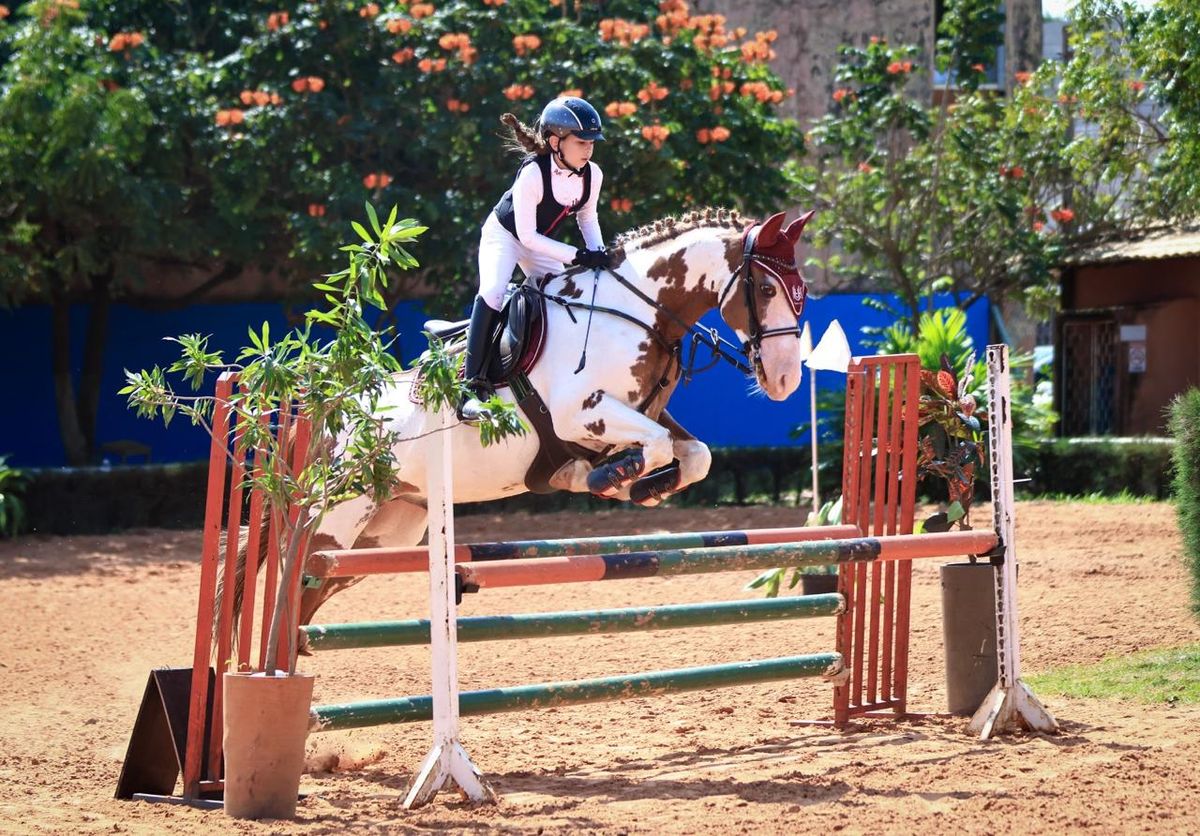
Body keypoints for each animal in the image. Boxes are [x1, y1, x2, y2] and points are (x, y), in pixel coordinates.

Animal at [282, 207, 816, 623]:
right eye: (766, 290)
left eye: (801, 291)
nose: (786, 380)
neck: (634, 313)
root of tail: (331, 409)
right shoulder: (579, 413)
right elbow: (655, 447)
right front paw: (612, 478)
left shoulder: (643, 413)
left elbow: (695, 453)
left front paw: (640, 485)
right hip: (338, 515)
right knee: (295, 577)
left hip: (386, 531)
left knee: (313, 592)